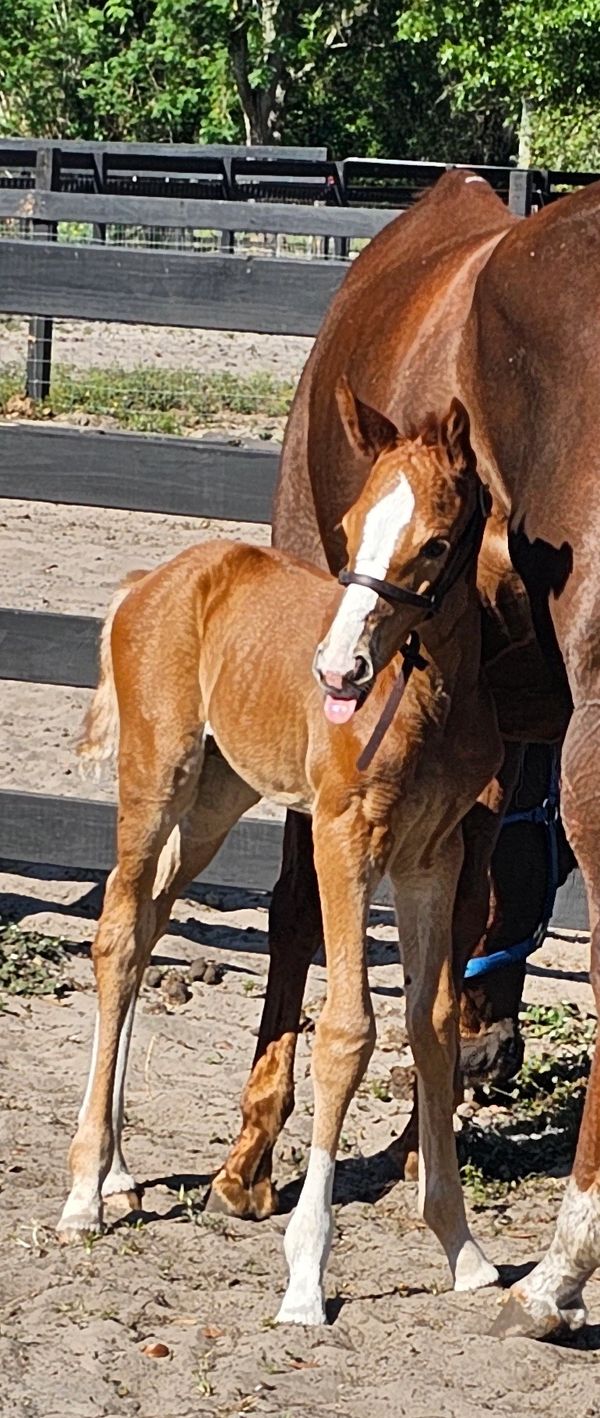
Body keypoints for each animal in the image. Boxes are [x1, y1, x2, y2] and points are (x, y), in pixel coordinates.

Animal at [57, 393, 506, 1322]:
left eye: (435, 542)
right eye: (350, 526)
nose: (337, 671)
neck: (428, 695)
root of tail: (148, 583)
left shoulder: (432, 856)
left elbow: (433, 1024)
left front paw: (463, 1247)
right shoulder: (344, 837)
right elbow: (346, 1030)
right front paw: (305, 1275)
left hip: (216, 799)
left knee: (146, 923)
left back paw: (118, 1171)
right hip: (157, 778)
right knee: (115, 935)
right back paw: (84, 1195)